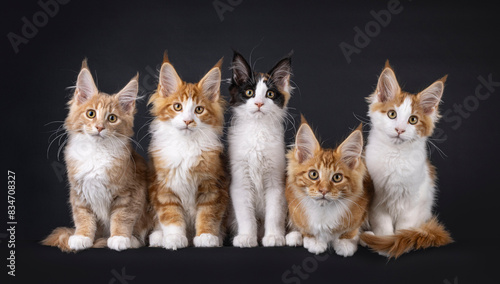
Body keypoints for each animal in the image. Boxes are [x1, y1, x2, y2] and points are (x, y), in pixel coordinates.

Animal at [42, 59, 151, 251]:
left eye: (112, 118)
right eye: (91, 113)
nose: (99, 127)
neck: (96, 152)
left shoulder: (129, 193)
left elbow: (122, 217)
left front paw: (119, 238)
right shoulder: (79, 193)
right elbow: (83, 217)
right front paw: (82, 237)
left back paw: (132, 240)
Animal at [146, 54, 229, 250]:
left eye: (199, 109)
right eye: (178, 107)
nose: (187, 121)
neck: (186, 146)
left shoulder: (212, 187)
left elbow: (207, 214)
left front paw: (207, 236)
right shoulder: (164, 188)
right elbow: (171, 216)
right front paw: (174, 238)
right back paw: (158, 237)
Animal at [228, 52, 292, 247]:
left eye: (270, 94)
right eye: (250, 93)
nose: (258, 103)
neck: (257, 131)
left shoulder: (276, 182)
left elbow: (274, 214)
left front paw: (274, 237)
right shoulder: (240, 181)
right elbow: (246, 216)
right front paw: (247, 237)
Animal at [286, 118, 372, 256]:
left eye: (337, 177)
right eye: (313, 174)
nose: (324, 190)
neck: (323, 210)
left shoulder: (361, 207)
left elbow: (351, 230)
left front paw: (344, 243)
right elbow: (305, 228)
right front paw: (314, 241)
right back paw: (293, 237)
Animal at [360, 61, 454, 258]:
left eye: (413, 120)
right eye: (392, 114)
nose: (400, 130)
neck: (395, 157)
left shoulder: (412, 202)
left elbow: (403, 229)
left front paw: (395, 244)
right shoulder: (377, 203)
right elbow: (384, 228)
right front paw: (383, 245)